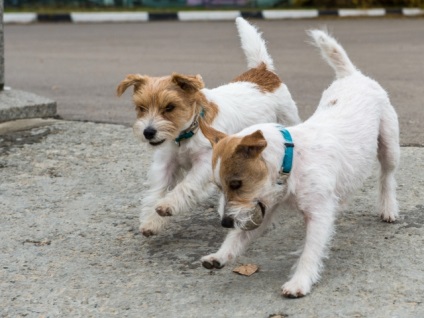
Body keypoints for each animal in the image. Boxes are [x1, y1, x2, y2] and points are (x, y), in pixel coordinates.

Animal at [117, 17, 300, 236]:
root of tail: (263, 70)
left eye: (170, 107)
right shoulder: (166, 163)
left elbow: (186, 185)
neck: (187, 134)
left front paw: (168, 205)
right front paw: (152, 221)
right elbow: (157, 191)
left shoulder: (205, 163)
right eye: (141, 108)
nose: (148, 132)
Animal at [200, 29, 400, 298]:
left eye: (236, 183)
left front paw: (299, 282)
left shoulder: (317, 215)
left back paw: (388, 207)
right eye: (219, 186)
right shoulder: (263, 208)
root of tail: (351, 75)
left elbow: (310, 251)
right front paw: (220, 255)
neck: (290, 161)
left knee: (387, 176)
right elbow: (238, 238)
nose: (225, 222)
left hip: (389, 145)